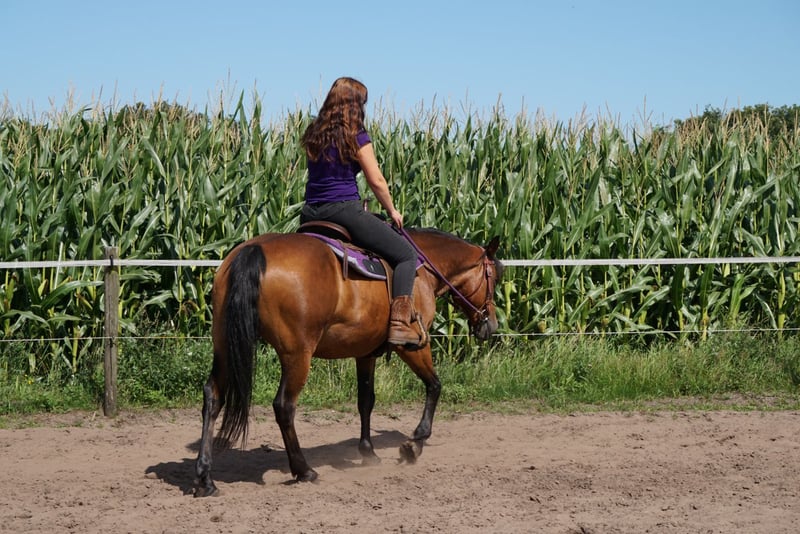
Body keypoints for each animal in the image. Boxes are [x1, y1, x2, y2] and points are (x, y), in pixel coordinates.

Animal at [194, 227, 503, 497]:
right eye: (494, 279)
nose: (491, 325)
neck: (422, 270)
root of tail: (254, 250)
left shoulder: (364, 352)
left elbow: (365, 400)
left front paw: (368, 452)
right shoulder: (413, 346)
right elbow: (435, 386)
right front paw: (414, 444)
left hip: (225, 344)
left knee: (213, 397)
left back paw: (205, 478)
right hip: (297, 355)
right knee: (284, 406)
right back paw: (304, 470)